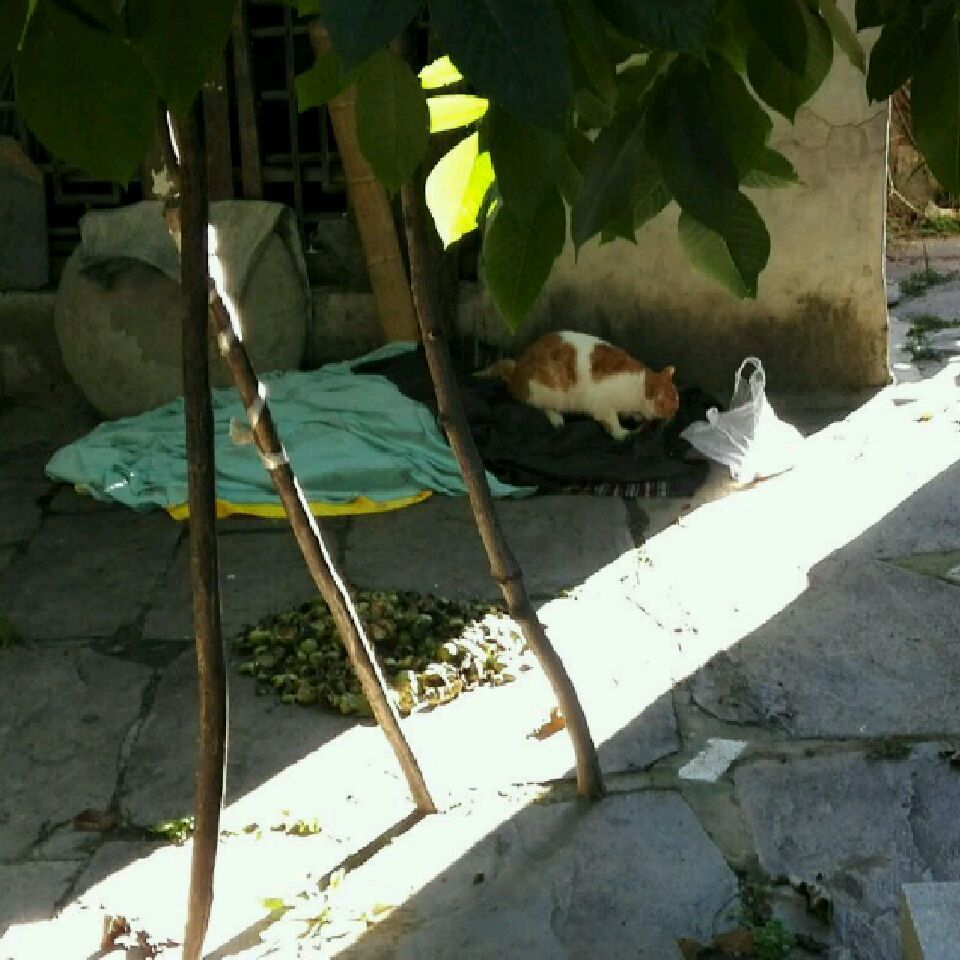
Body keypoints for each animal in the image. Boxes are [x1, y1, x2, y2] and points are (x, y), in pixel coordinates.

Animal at [476, 330, 679, 440]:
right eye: (672, 406)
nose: (675, 414)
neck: (640, 388)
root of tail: (516, 372)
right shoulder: (603, 407)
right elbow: (612, 422)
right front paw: (622, 433)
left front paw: (636, 417)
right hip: (548, 391)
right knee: (539, 406)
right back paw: (556, 418)